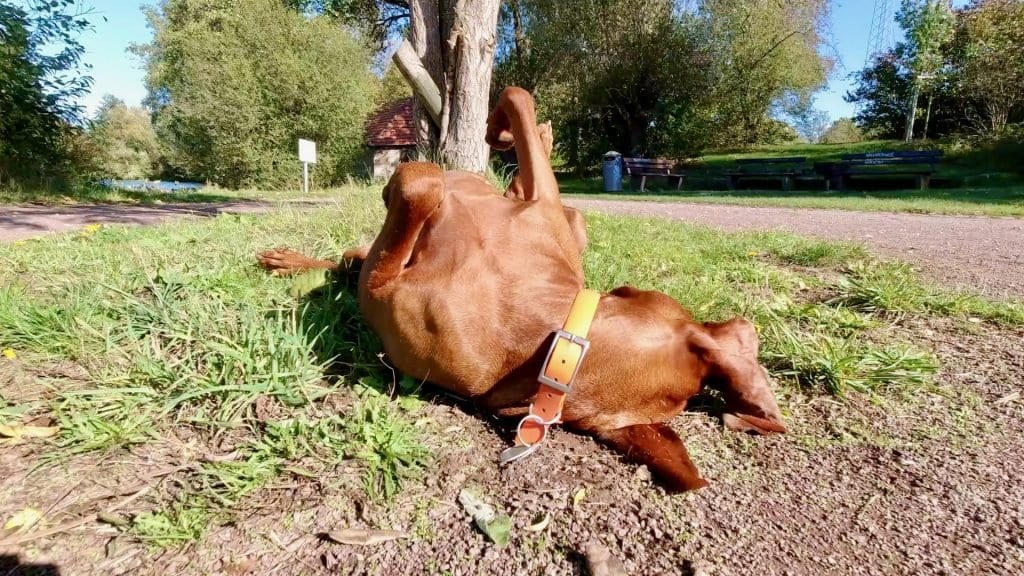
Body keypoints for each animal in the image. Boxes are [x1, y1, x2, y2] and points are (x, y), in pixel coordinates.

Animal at [258, 86, 782, 487]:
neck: (552, 341)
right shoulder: (549, 207)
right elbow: (516, 112)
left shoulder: (381, 292)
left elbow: (422, 179)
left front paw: (484, 140)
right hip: (563, 217)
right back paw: (286, 259)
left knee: (369, 244)